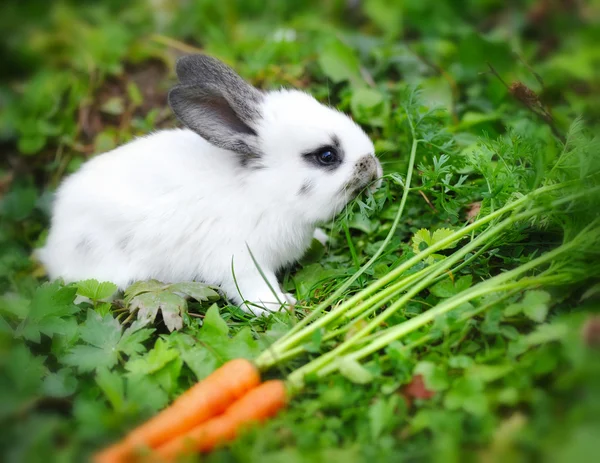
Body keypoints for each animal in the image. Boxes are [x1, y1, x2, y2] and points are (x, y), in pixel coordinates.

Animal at [38, 53, 384, 316]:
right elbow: (252, 287)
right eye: (326, 156)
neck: (266, 190)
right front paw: (280, 305)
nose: (374, 169)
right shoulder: (240, 260)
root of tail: (54, 243)